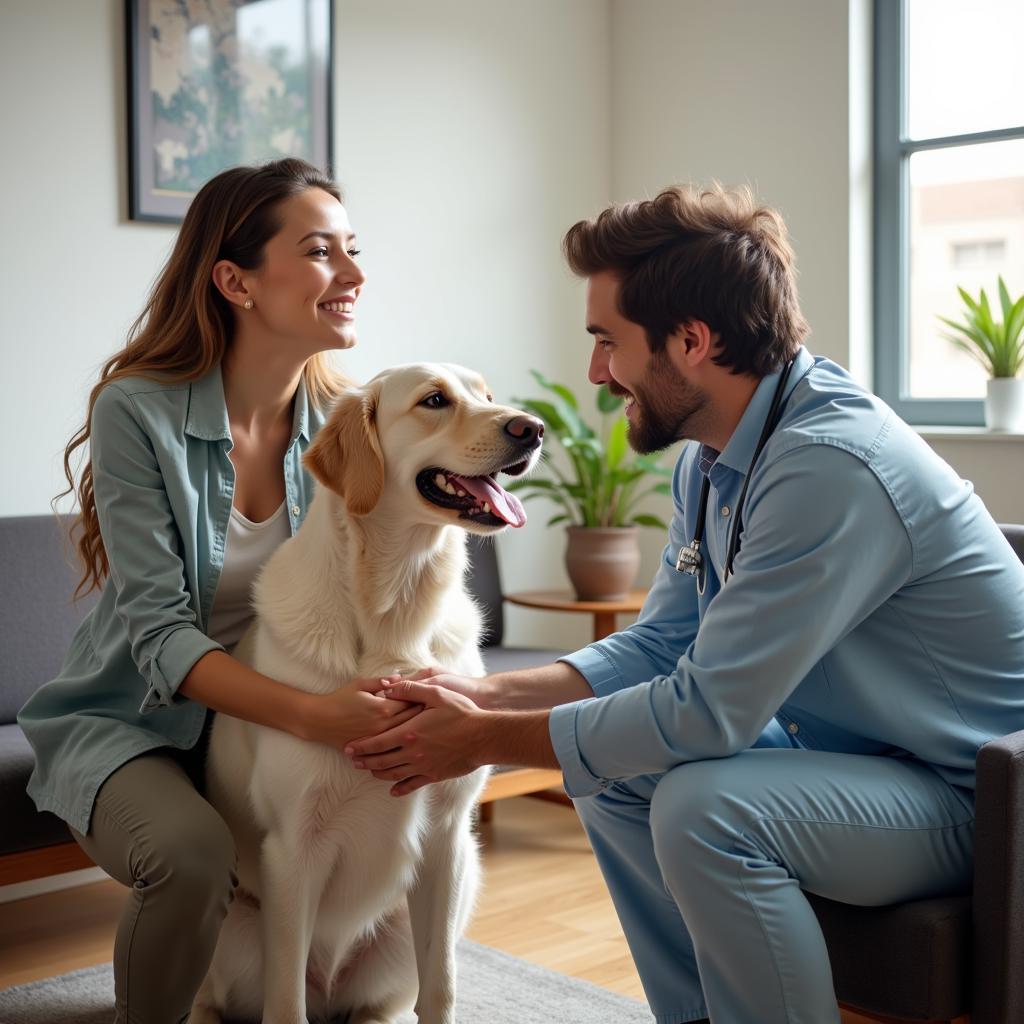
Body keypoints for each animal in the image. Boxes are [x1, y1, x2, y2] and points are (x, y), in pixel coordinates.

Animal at [190, 362, 544, 1024]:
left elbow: (441, 988)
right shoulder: (292, 851)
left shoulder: (448, 838)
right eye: (434, 401)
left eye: (487, 395)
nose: (532, 428)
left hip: (439, 902)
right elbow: (284, 1005)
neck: (396, 609)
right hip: (232, 929)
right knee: (210, 997)